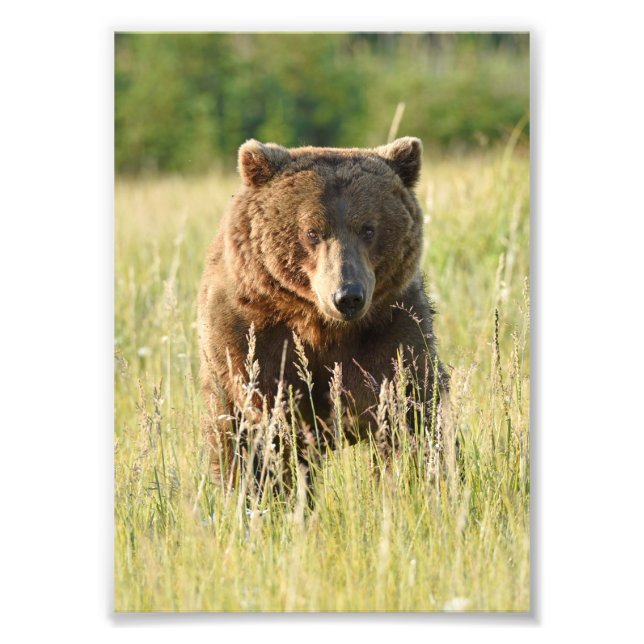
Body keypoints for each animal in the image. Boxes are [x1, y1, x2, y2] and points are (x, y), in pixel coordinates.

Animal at [197, 137, 450, 492]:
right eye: (312, 231)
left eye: (368, 229)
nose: (348, 296)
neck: (321, 324)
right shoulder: (253, 335)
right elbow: (268, 429)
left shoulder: (392, 328)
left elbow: (407, 409)